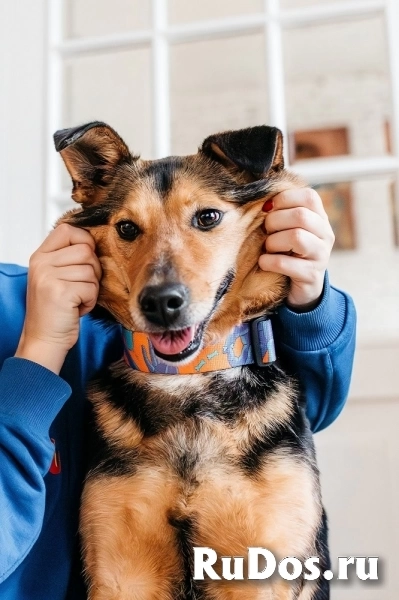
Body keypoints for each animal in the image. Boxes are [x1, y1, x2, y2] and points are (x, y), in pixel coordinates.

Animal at [54, 123, 330, 600]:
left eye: (207, 218)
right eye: (127, 228)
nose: (160, 303)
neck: (187, 382)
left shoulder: (264, 570)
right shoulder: (120, 572)